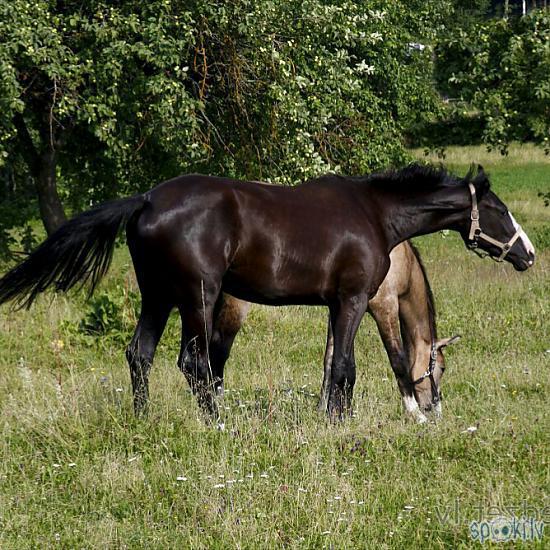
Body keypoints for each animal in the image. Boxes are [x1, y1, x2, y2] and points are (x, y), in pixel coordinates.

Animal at [213, 240, 464, 422]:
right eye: (442, 367)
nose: (435, 408)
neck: (401, 260)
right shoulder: (384, 306)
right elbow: (397, 360)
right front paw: (415, 414)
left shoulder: (340, 308)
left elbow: (334, 360)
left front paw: (330, 410)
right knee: (218, 352)